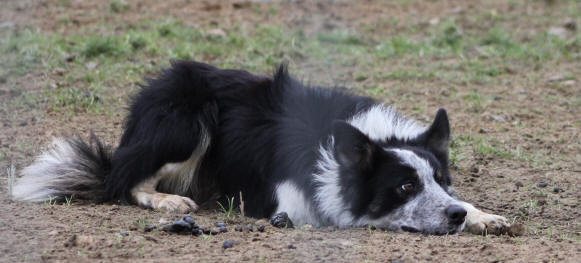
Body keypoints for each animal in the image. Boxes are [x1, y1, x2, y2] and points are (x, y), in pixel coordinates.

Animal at [12, 60, 508, 236]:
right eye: (404, 187)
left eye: (441, 181)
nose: (455, 216)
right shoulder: (290, 202)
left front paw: (483, 215)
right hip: (188, 118)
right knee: (126, 182)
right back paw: (168, 199)